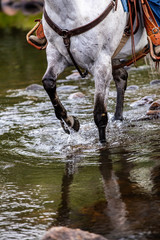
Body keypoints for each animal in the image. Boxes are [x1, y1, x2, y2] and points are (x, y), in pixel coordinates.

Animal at [41, 0, 148, 142]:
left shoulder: (101, 63)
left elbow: (100, 113)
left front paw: (103, 143)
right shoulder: (56, 54)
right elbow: (48, 82)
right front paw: (72, 123)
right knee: (121, 77)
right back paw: (117, 118)